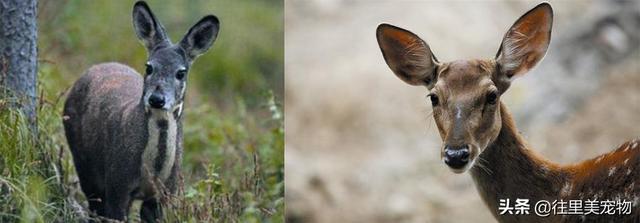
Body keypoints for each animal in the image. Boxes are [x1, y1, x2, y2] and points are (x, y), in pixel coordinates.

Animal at [63, 1, 220, 221]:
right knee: (94, 204)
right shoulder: (117, 183)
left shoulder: (165, 194)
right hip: (82, 160)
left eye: (181, 72)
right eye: (149, 67)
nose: (156, 99)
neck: (152, 171)